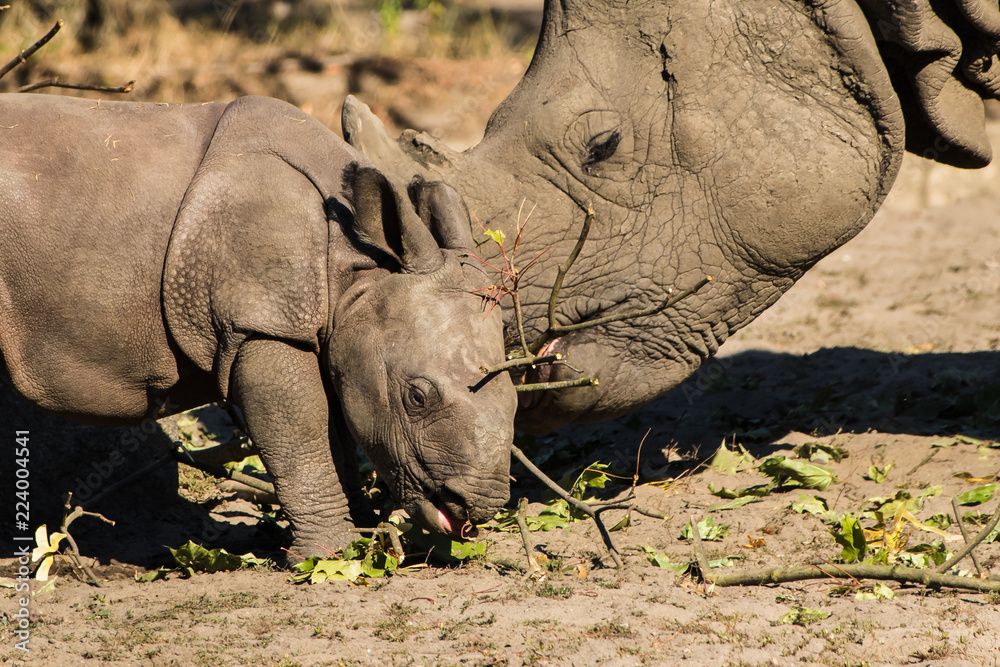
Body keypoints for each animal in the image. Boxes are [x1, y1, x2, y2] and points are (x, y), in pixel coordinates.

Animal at [0, 93, 516, 556]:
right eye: (417, 398)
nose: (476, 507)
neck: (358, 269)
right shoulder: (261, 320)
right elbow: (302, 432)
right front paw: (329, 554)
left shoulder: (315, 324)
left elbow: (335, 432)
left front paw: (361, 533)